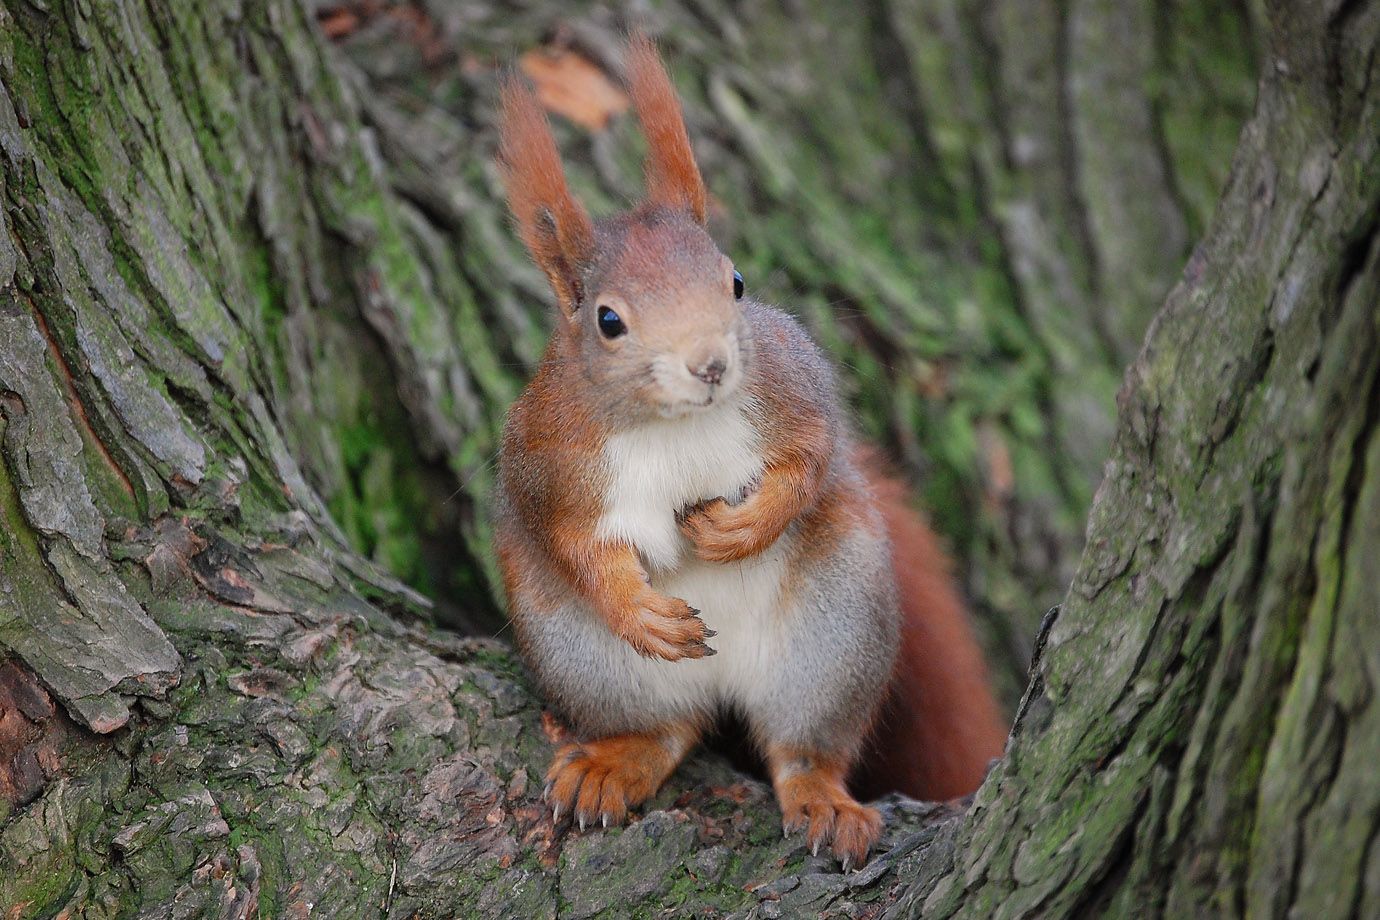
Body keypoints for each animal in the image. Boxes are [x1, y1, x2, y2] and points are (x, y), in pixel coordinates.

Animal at [493, 34, 1007, 868]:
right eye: (608, 320)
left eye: (735, 281)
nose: (710, 365)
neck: (675, 422)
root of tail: (726, 681)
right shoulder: (546, 458)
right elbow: (574, 543)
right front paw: (637, 608)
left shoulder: (794, 388)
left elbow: (811, 461)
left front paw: (743, 527)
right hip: (584, 656)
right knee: (667, 729)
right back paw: (615, 762)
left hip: (834, 635)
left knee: (803, 749)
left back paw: (824, 799)